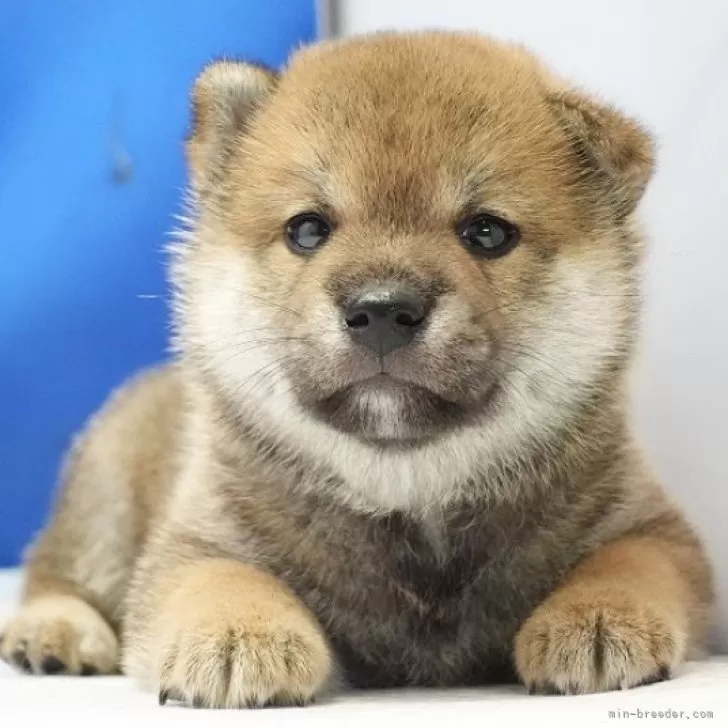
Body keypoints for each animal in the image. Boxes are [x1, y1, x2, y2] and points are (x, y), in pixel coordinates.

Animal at [1, 31, 716, 708]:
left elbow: (629, 562)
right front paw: (238, 634)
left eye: (486, 233)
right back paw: (55, 632)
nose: (382, 309)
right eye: (308, 230)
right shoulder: (199, 540)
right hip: (105, 503)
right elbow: (222, 578)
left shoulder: (648, 524)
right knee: (55, 572)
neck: (409, 485)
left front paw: (599, 617)